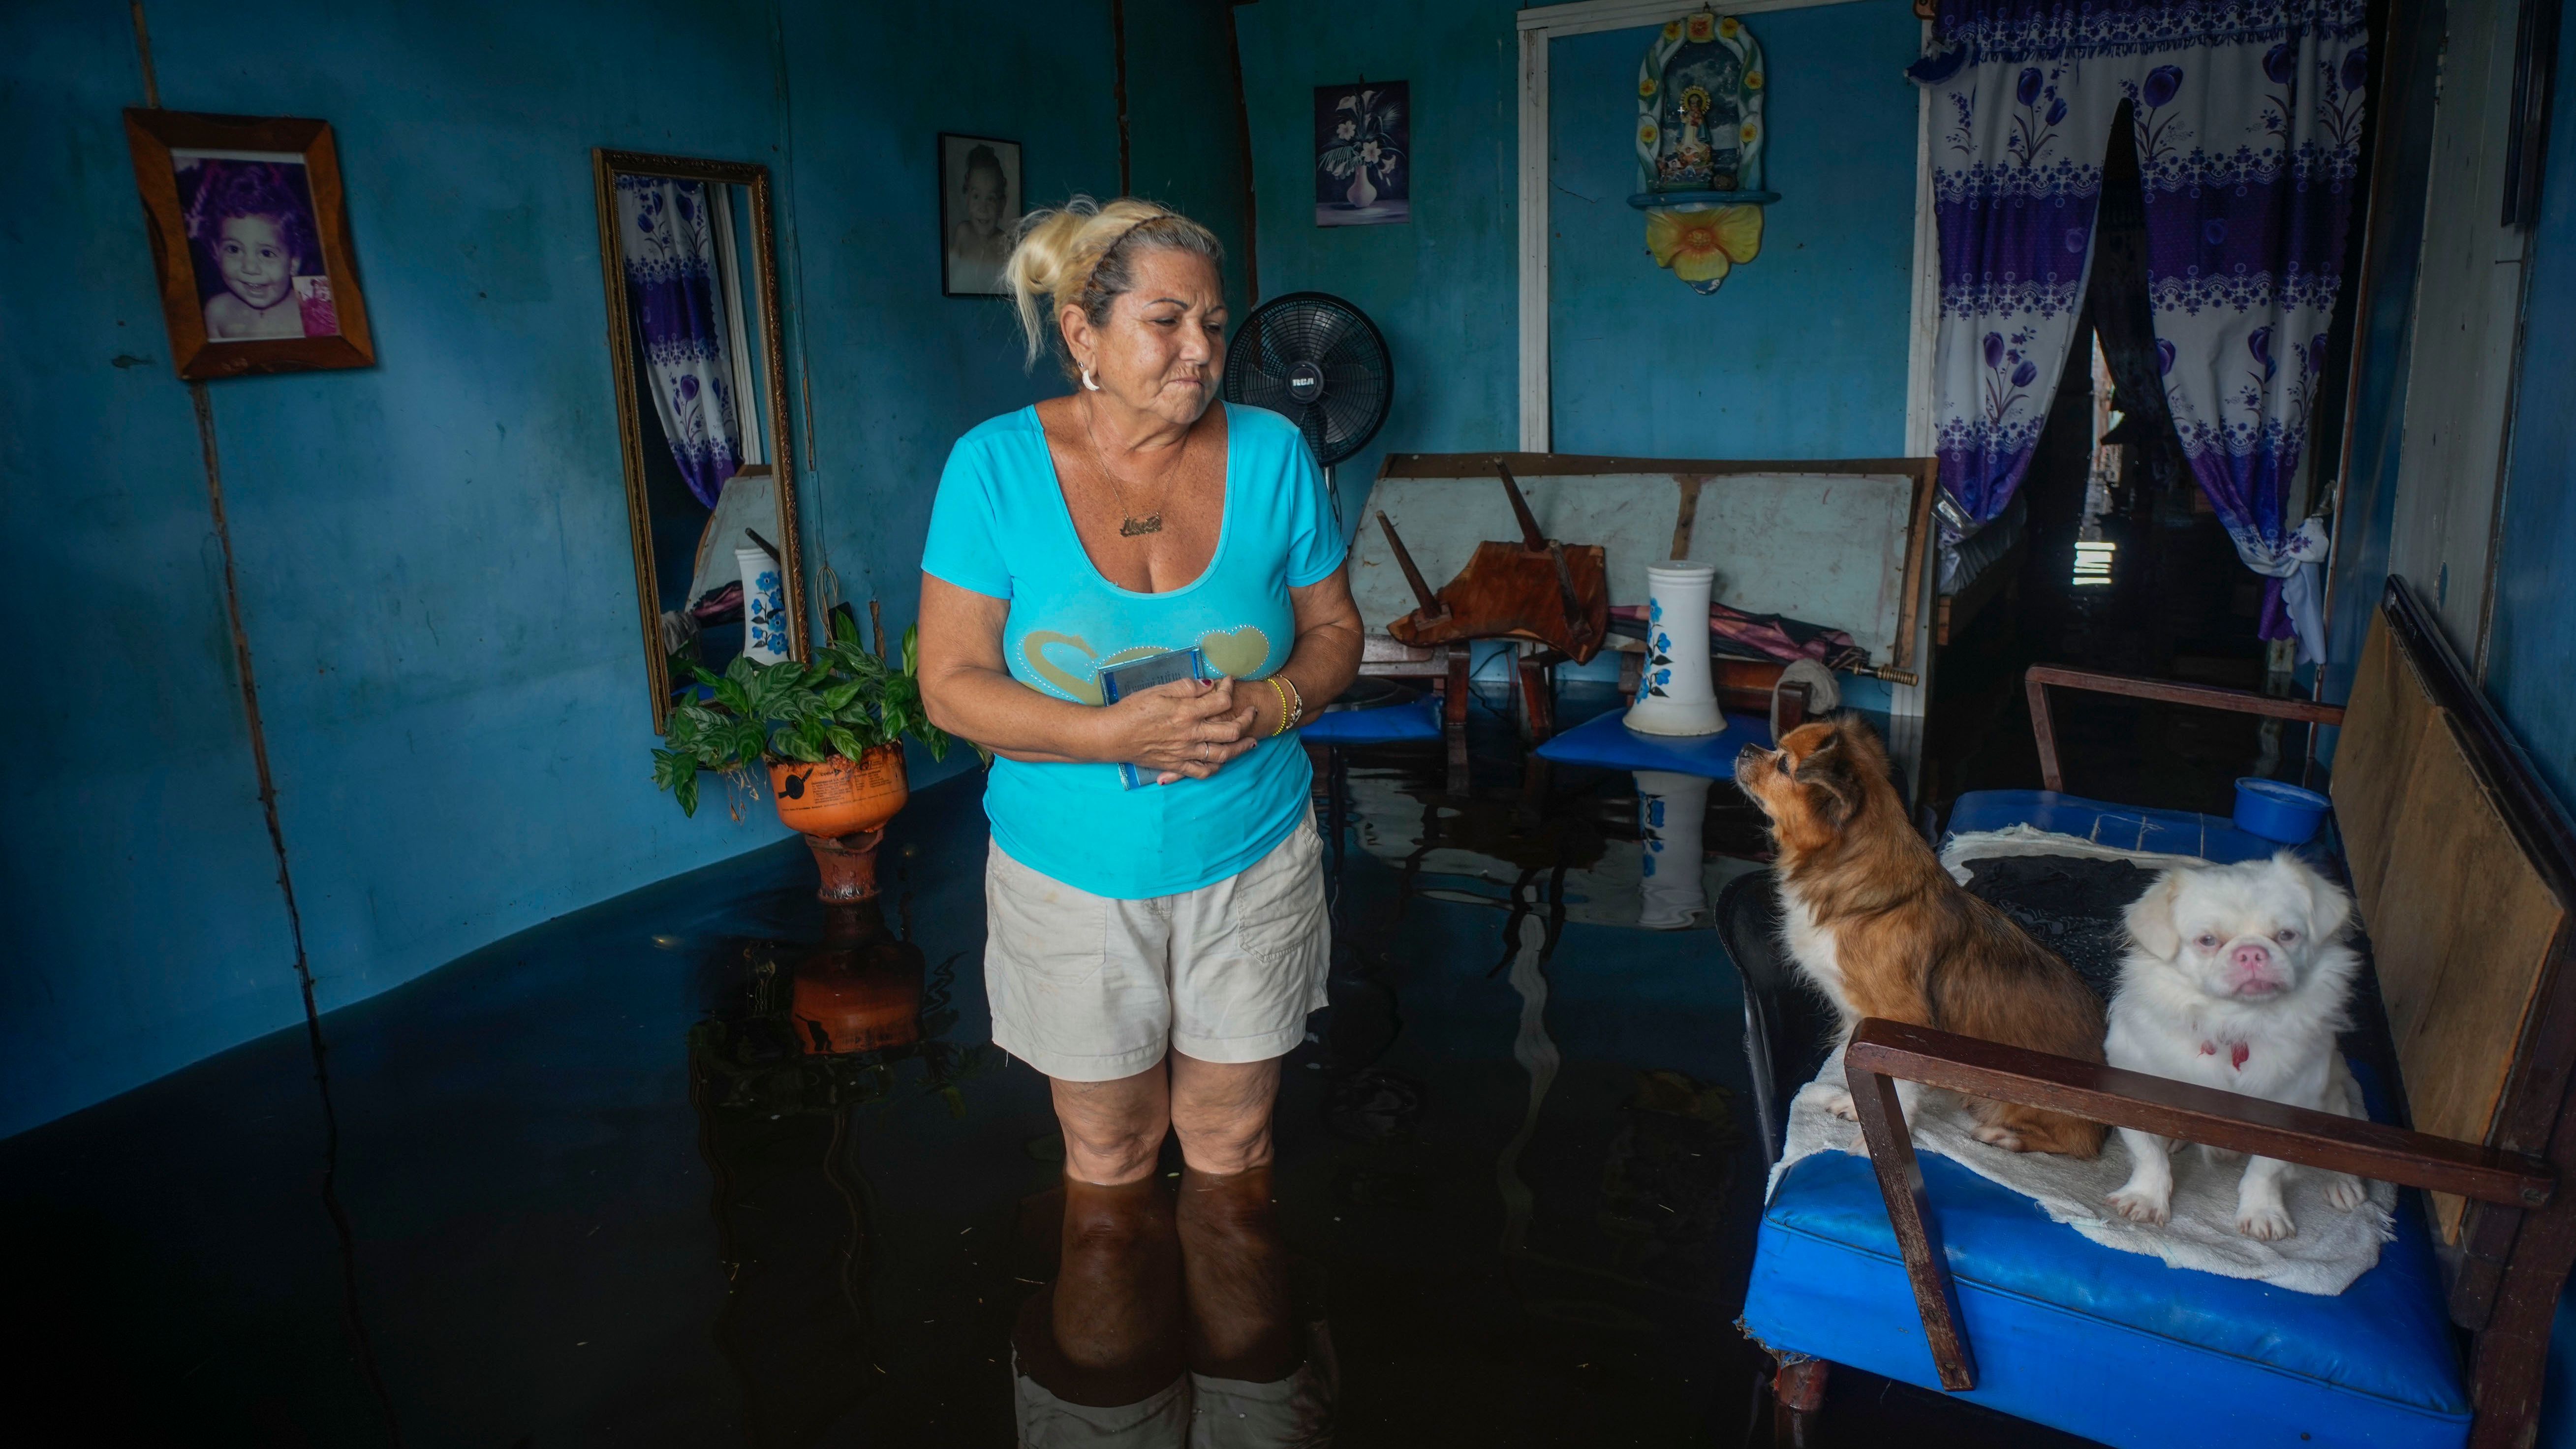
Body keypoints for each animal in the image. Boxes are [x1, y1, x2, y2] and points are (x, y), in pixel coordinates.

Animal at [1741, 715, 2102, 1158]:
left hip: (2020, 1104)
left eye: (1782, 764)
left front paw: (1878, 1138)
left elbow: (1900, 1085)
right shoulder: (1859, 1015)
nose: (1745, 749)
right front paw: (1856, 1105)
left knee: (2077, 1143)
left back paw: (2004, 1135)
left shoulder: (1900, 1021)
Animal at [2102, 854, 2359, 1240]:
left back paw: (2343, 1182)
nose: (2251, 952)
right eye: (2208, 940)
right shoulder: (2132, 1088)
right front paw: (2146, 1199)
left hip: (2334, 1099)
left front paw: (2263, 1212)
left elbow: (2267, 1168)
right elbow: (2148, 1153)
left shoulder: (2290, 1109)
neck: (2234, 1022)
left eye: (2286, 935)